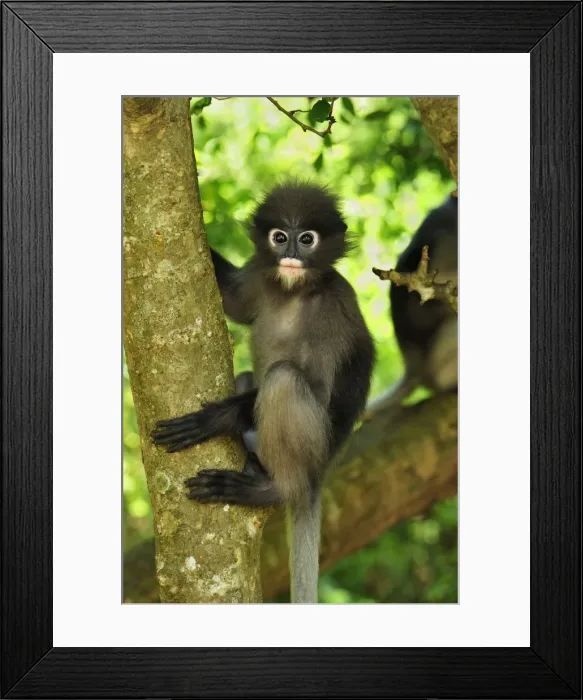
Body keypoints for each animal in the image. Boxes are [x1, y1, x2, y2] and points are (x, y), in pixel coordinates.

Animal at [151, 183, 375, 603]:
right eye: (280, 237)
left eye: (307, 239)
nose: (291, 255)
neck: (293, 291)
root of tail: (317, 472)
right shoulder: (259, 274)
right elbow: (234, 303)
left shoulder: (332, 307)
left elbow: (318, 387)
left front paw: (213, 419)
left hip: (312, 444)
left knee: (283, 379)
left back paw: (270, 489)